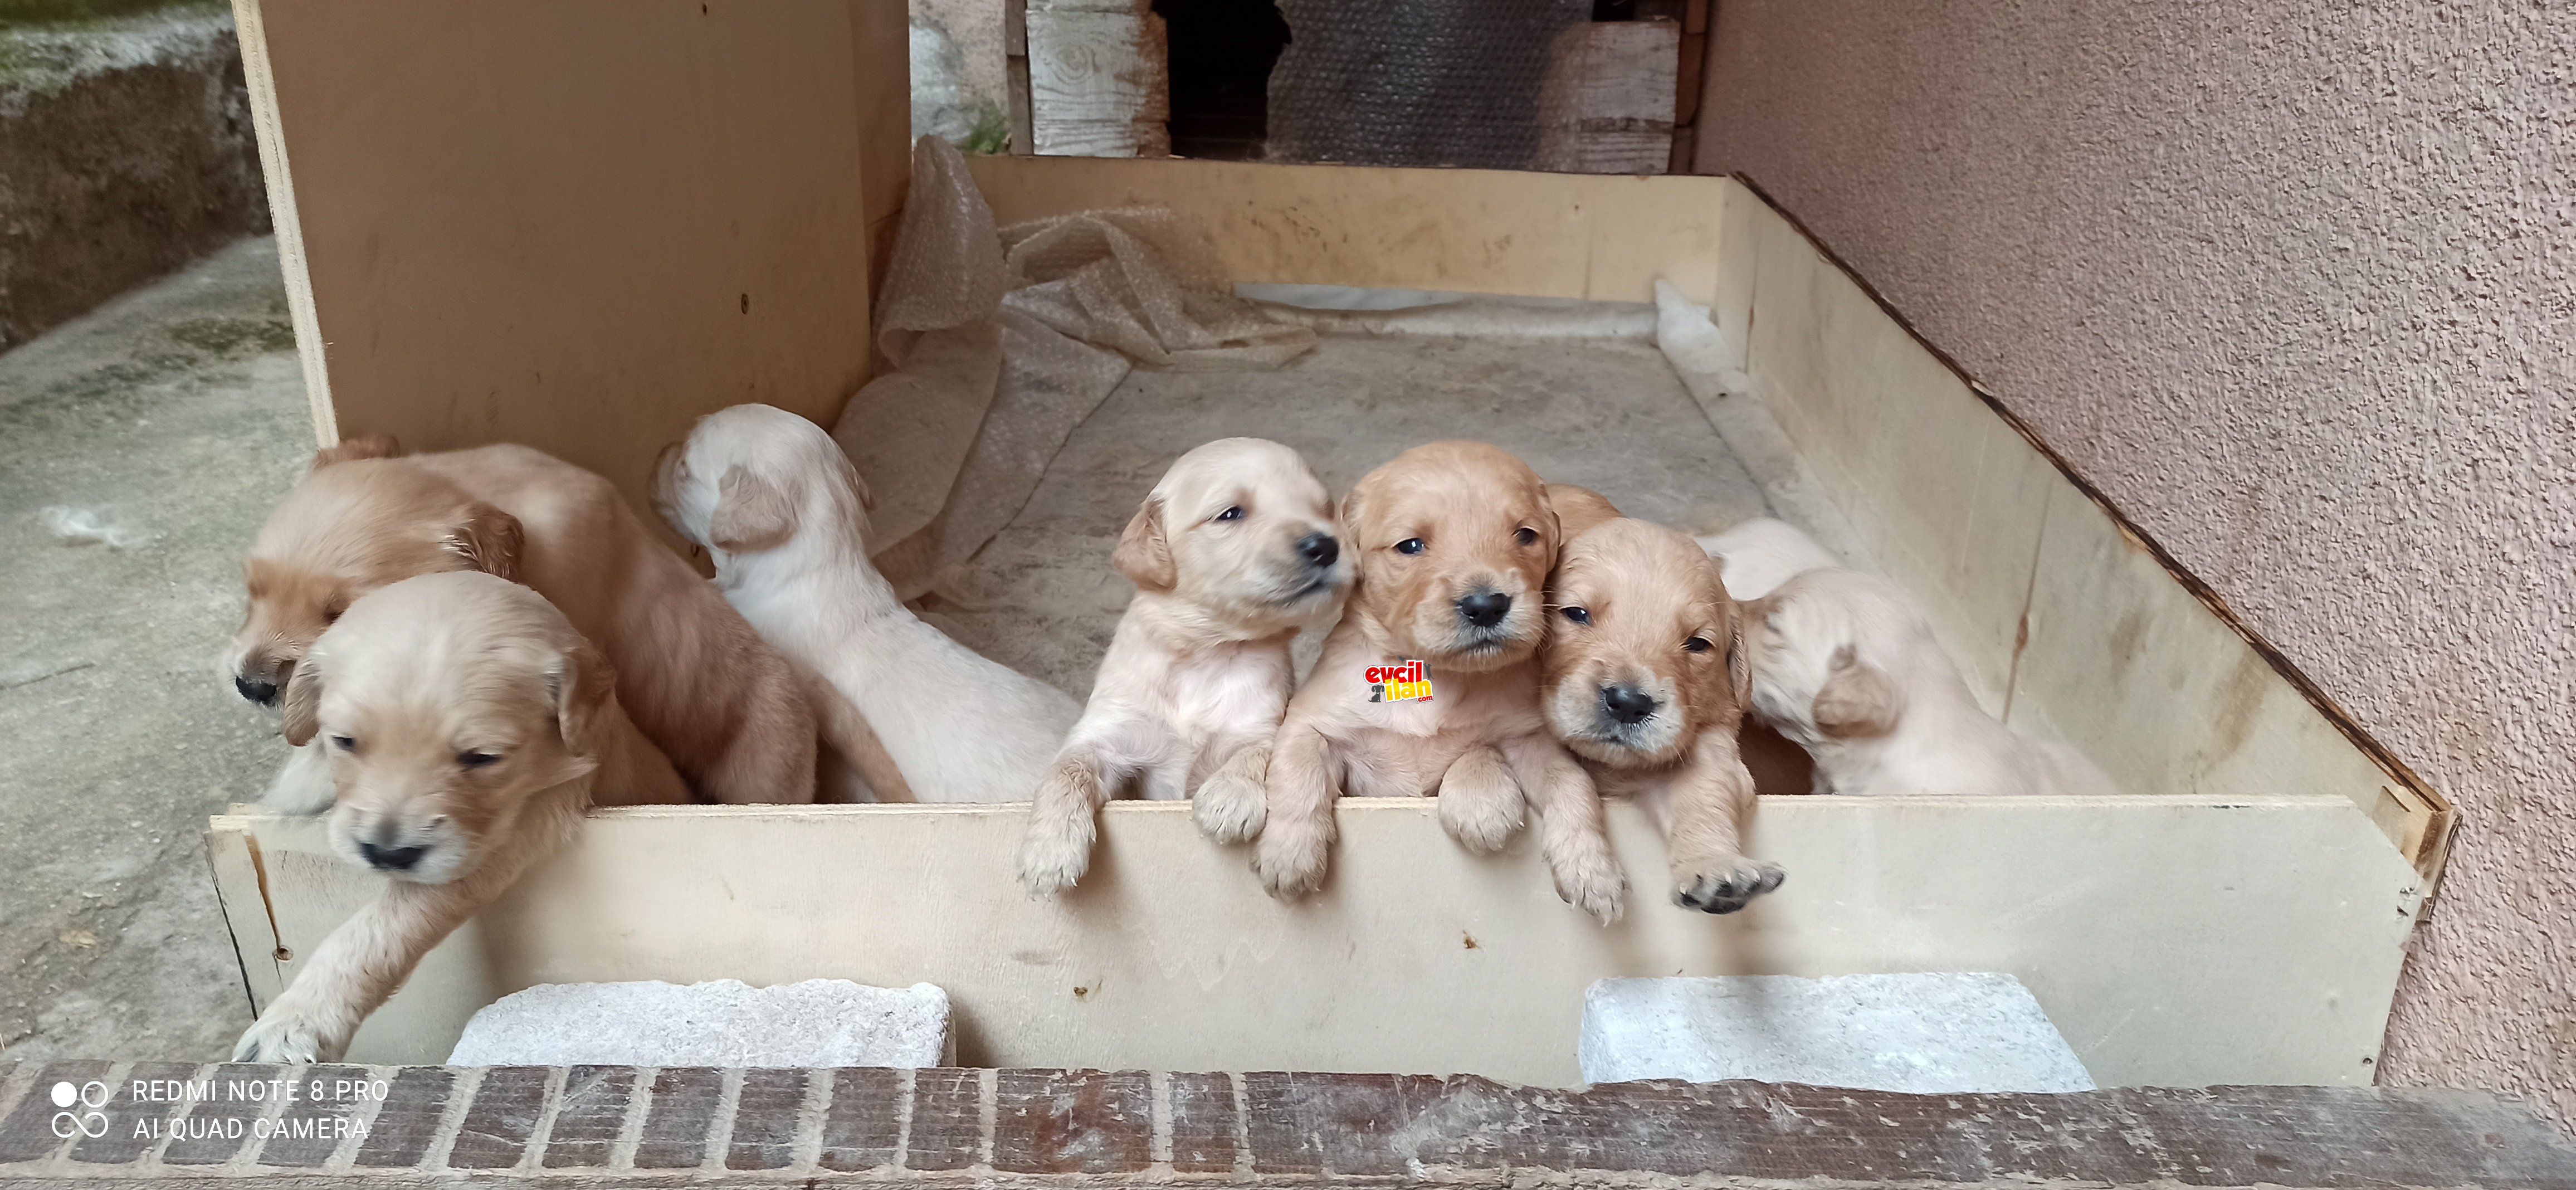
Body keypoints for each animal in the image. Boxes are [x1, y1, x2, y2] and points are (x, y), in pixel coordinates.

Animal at [233, 572, 690, 1066]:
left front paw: (294, 1022)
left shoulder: (514, 827)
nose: (386, 854)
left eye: (483, 758)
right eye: (345, 741)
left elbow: (383, 926)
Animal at [1014, 437, 1360, 891]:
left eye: (1324, 509)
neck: (1205, 651)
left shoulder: (1261, 722)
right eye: (1231, 513)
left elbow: (1259, 751)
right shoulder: (1107, 736)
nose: (1327, 546)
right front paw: (1049, 855)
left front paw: (1228, 801)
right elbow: (1065, 771)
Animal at [1535, 515, 1782, 916]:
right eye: (1577, 614)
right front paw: (1588, 870)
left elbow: (1705, 790)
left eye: (1697, 644)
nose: (1628, 702)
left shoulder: (1711, 735)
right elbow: (1563, 779)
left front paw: (1716, 867)